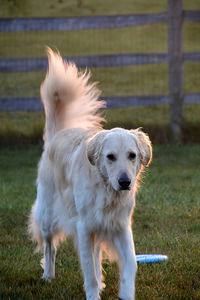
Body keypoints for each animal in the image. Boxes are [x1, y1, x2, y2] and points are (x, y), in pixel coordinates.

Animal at [28, 48, 152, 298]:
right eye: (110, 157)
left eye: (132, 155)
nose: (125, 182)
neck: (106, 191)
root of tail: (58, 133)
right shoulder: (84, 227)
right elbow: (89, 274)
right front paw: (94, 293)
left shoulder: (119, 227)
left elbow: (131, 265)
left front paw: (125, 292)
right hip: (47, 216)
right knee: (50, 247)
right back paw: (48, 276)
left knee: (94, 255)